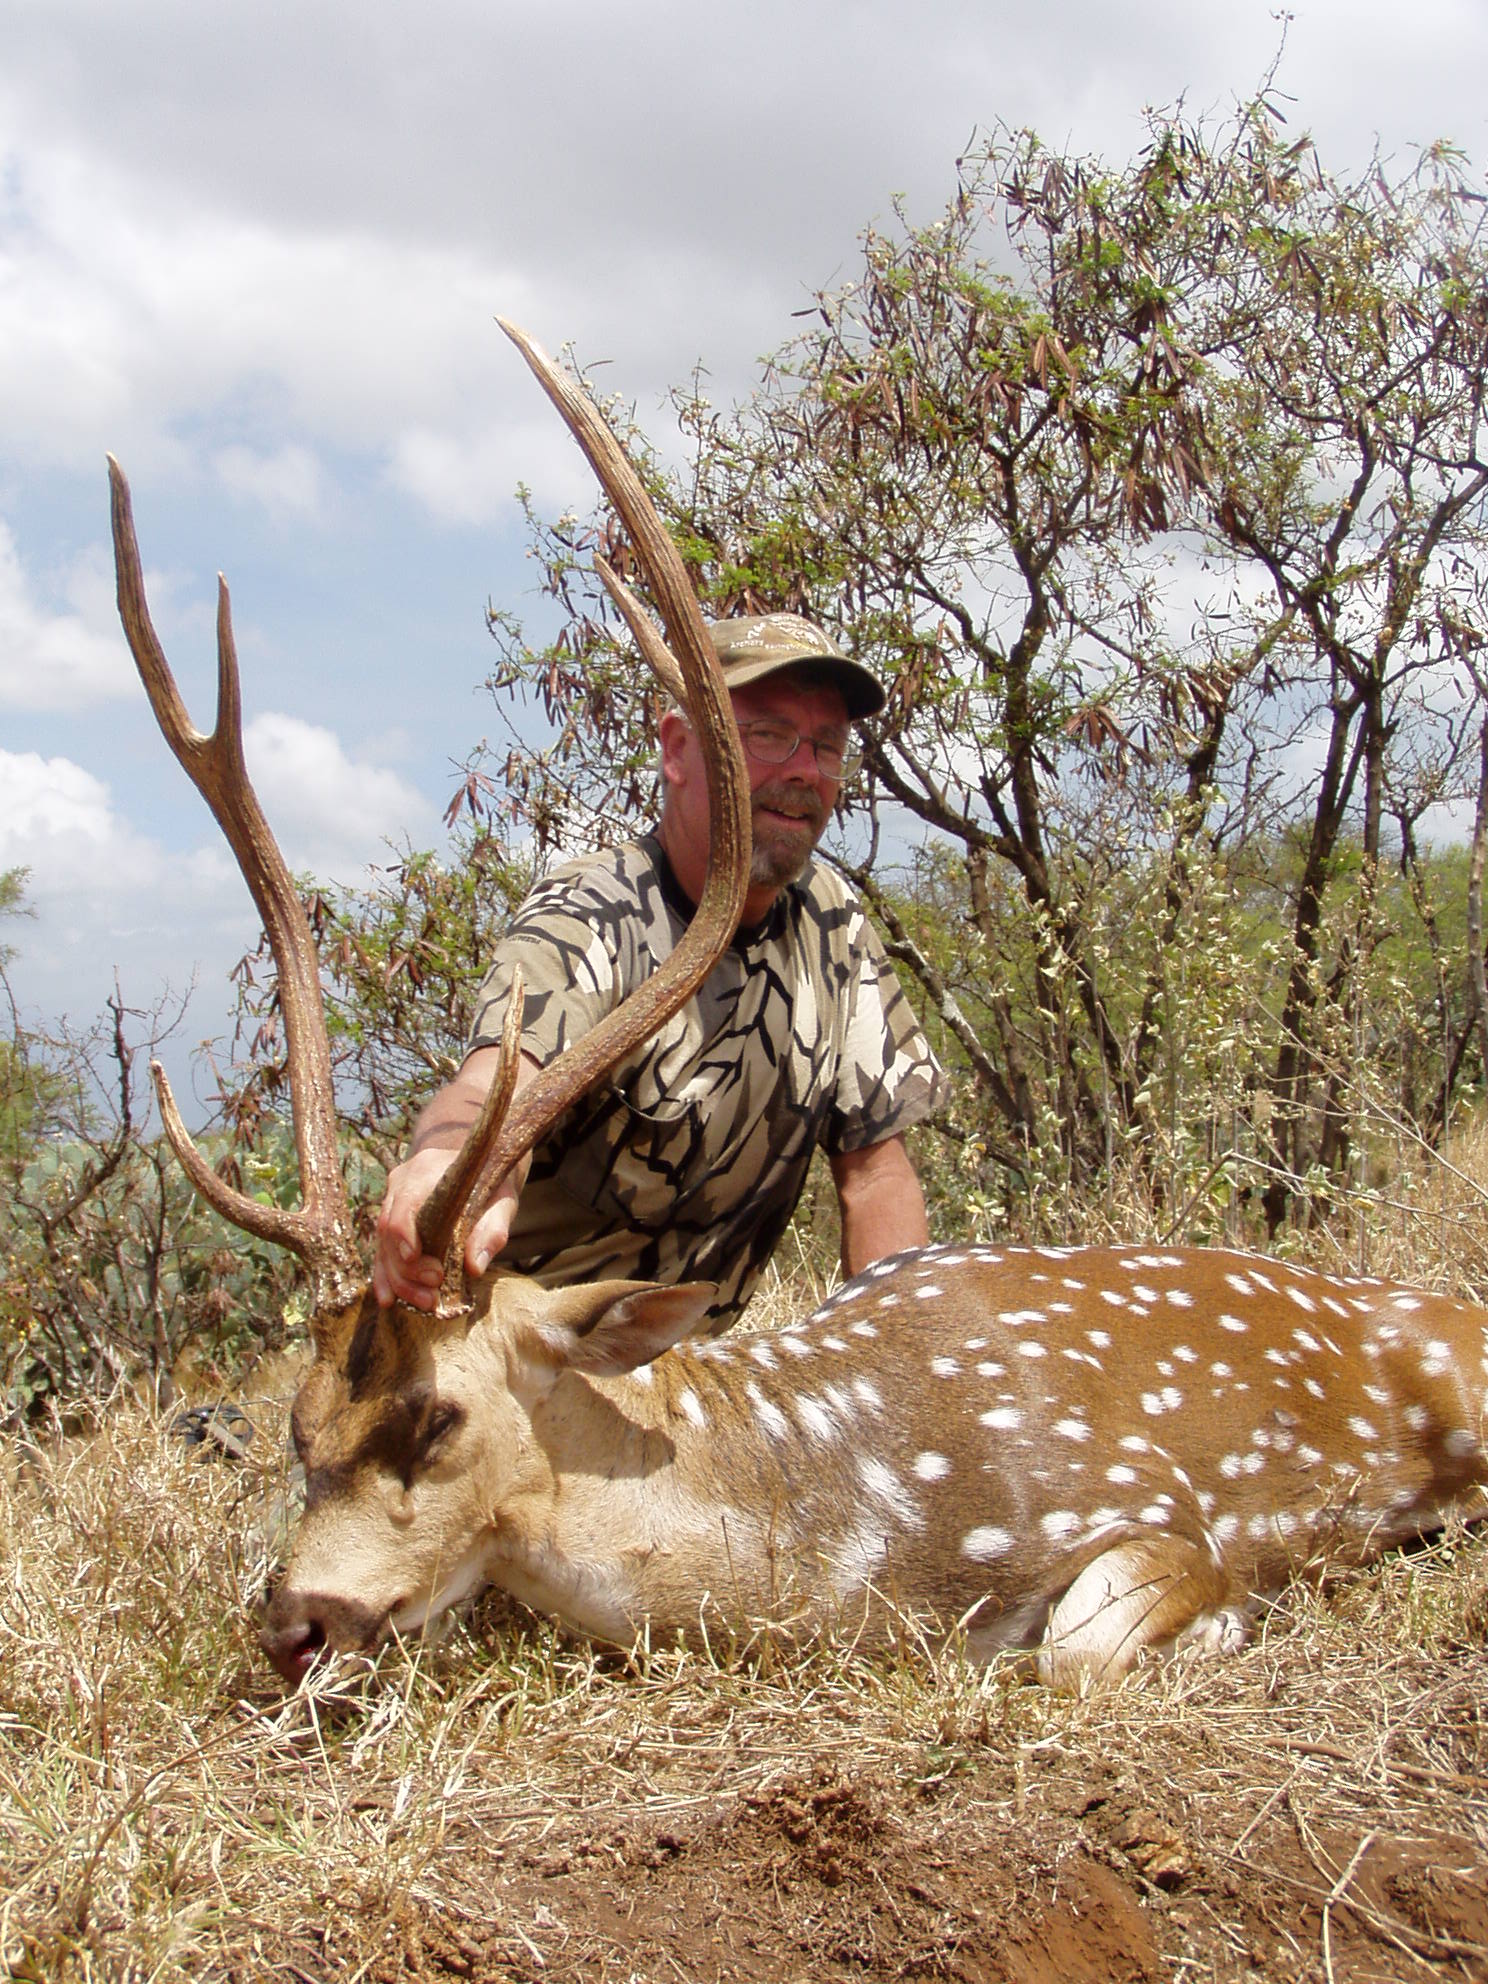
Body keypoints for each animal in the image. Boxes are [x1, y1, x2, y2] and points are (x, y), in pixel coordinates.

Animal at [111, 324, 1488, 1692]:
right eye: (300, 1426)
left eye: (435, 1416)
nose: (296, 1619)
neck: (853, 1522)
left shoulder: (1148, 1505)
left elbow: (1082, 1644)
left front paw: (1235, 1614)